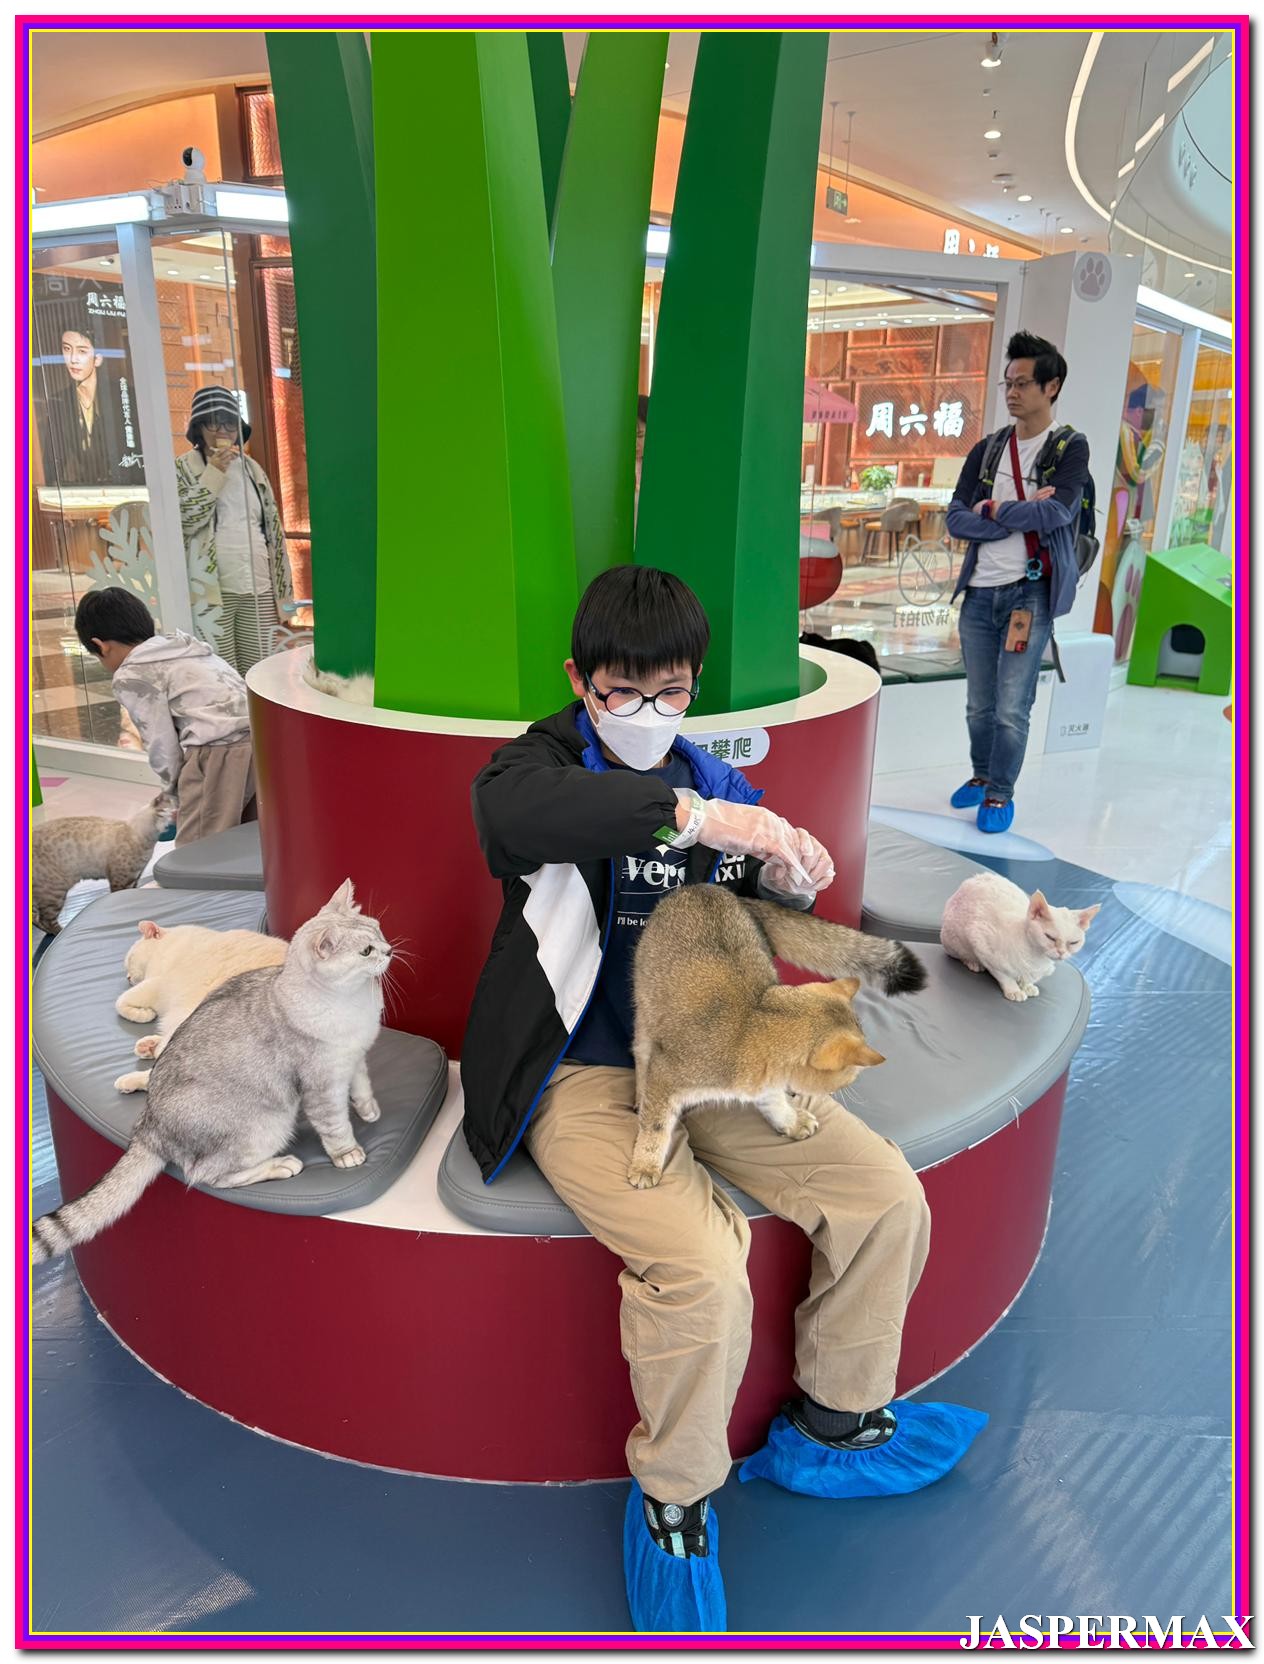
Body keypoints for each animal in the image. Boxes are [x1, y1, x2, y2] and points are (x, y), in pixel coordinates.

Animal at [32, 795, 174, 937]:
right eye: (169, 814)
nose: (172, 826)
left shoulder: (134, 879)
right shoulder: (121, 882)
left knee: (35, 918)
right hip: (55, 892)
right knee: (45, 920)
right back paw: (59, 933)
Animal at [112, 918, 290, 1093]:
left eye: (130, 960)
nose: (128, 977)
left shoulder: (156, 984)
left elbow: (120, 1002)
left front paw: (143, 1014)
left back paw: (132, 1076)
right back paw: (147, 1048)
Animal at [627, 886, 927, 1190]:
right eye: (850, 1079)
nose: (836, 1092)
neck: (751, 1023)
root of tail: (705, 888)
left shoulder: (766, 1083)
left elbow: (774, 1101)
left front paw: (790, 1120)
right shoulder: (665, 1075)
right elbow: (656, 1127)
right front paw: (645, 1164)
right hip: (645, 1011)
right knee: (640, 1052)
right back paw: (640, 1095)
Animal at [940, 871, 1100, 1002]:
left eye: (1073, 943)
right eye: (1050, 937)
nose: (1061, 952)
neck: (1037, 959)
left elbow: (1027, 978)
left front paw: (1027, 985)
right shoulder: (981, 944)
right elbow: (1004, 975)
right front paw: (1014, 990)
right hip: (953, 940)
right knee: (958, 954)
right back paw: (973, 963)